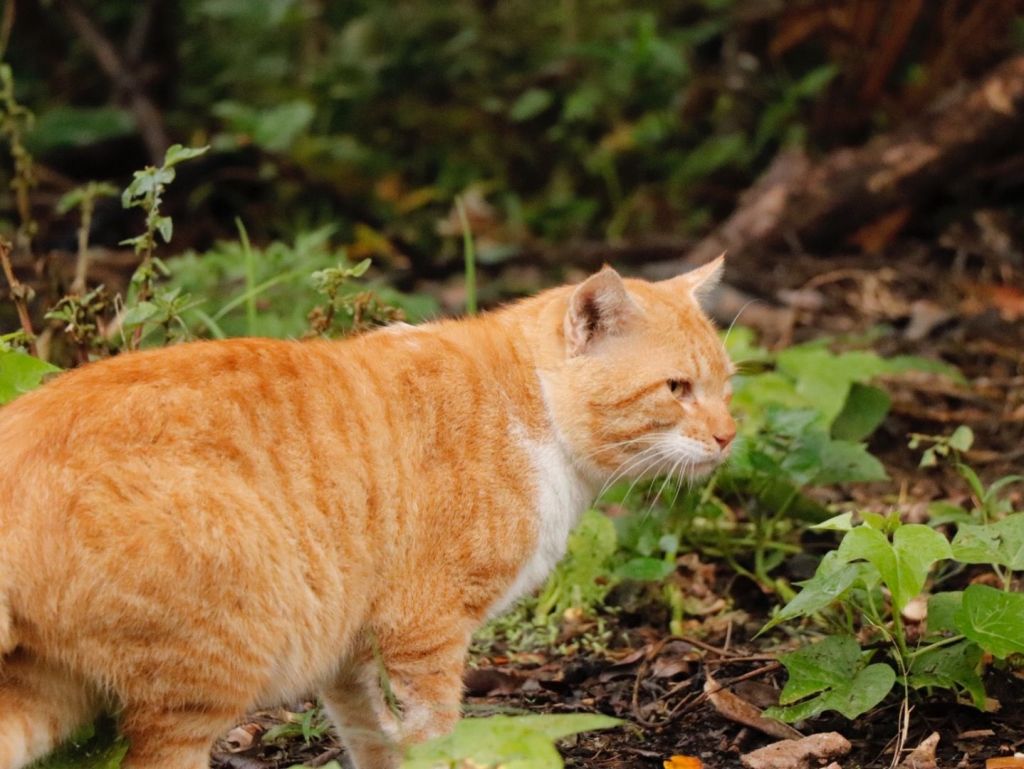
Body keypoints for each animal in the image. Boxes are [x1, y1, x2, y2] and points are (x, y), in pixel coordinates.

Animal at [0, 259, 737, 769]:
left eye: (727, 386)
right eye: (677, 388)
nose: (731, 434)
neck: (533, 410)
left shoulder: (349, 656)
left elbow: (374, 740)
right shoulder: (425, 631)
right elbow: (436, 734)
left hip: (44, 691)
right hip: (204, 674)